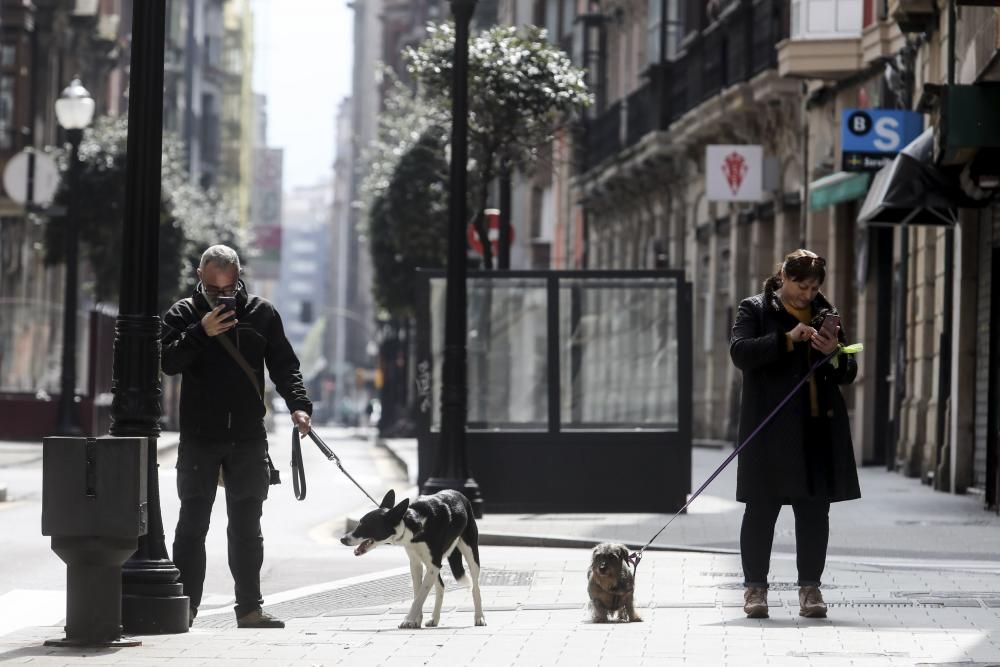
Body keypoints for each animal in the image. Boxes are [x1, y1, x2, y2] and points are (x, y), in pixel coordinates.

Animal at [342, 488, 486, 628]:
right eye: (359, 523)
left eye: (365, 525)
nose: (342, 539)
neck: (412, 524)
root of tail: (459, 494)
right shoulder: (416, 564)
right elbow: (418, 593)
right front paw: (415, 621)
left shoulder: (433, 565)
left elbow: (420, 596)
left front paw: (408, 620)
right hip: (432, 564)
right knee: (441, 586)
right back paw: (435, 618)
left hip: (470, 553)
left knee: (475, 587)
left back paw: (479, 617)